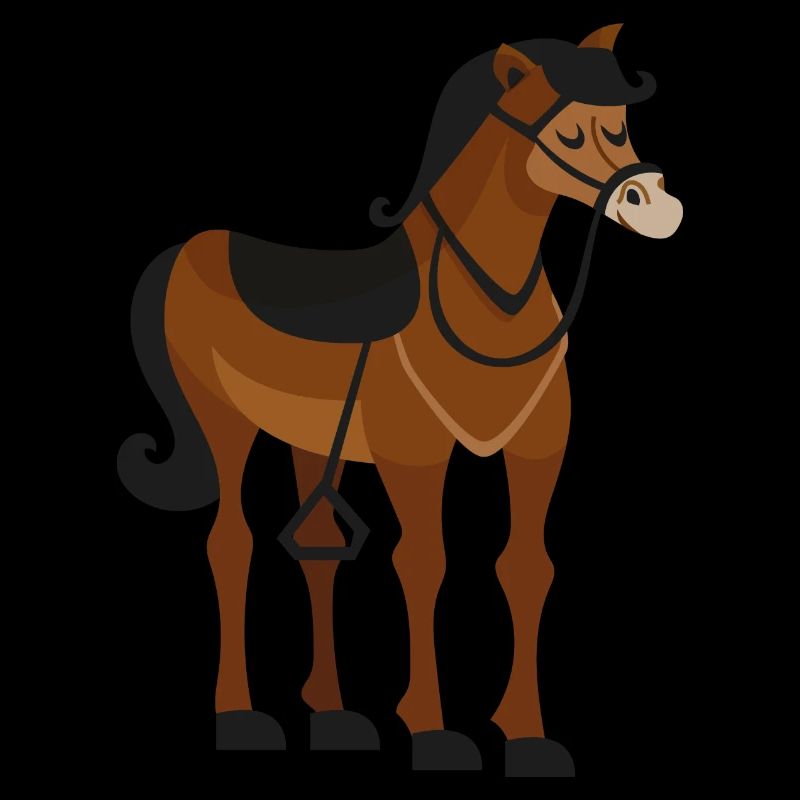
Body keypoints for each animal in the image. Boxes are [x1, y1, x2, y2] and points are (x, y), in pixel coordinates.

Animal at [118, 24, 682, 775]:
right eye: (565, 135)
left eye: (619, 124)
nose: (657, 207)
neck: (483, 304)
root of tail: (190, 249)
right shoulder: (413, 459)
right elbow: (424, 563)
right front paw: (433, 730)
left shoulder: (540, 451)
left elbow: (526, 566)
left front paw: (526, 734)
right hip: (224, 425)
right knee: (231, 543)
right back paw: (239, 716)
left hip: (308, 440)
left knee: (318, 549)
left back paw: (332, 716)